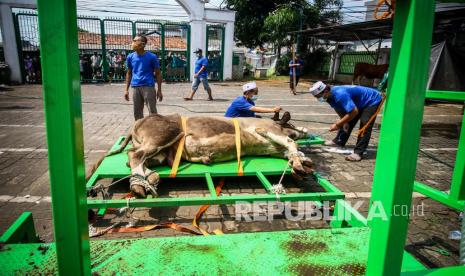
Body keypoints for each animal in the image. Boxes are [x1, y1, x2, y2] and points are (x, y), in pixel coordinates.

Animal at [94, 112, 312, 198]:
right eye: (292, 124)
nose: (306, 131)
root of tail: (139, 121)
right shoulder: (266, 129)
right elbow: (291, 142)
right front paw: (301, 161)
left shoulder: (272, 147)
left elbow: (289, 150)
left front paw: (299, 163)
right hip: (164, 135)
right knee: (134, 155)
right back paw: (140, 184)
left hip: (161, 152)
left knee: (139, 159)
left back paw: (150, 178)